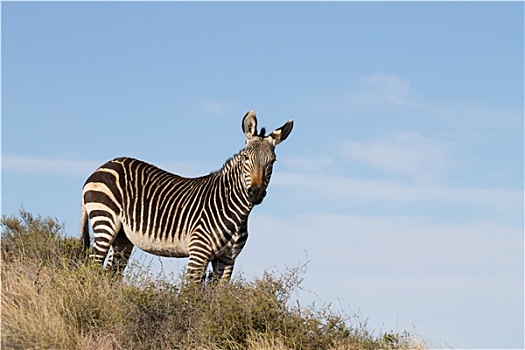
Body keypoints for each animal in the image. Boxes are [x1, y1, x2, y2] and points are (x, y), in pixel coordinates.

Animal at [79, 110, 290, 284]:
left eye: (272, 161)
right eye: (246, 157)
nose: (255, 193)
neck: (237, 213)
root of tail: (102, 167)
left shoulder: (227, 259)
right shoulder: (198, 252)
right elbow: (191, 295)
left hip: (122, 237)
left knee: (110, 274)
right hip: (105, 220)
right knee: (93, 267)